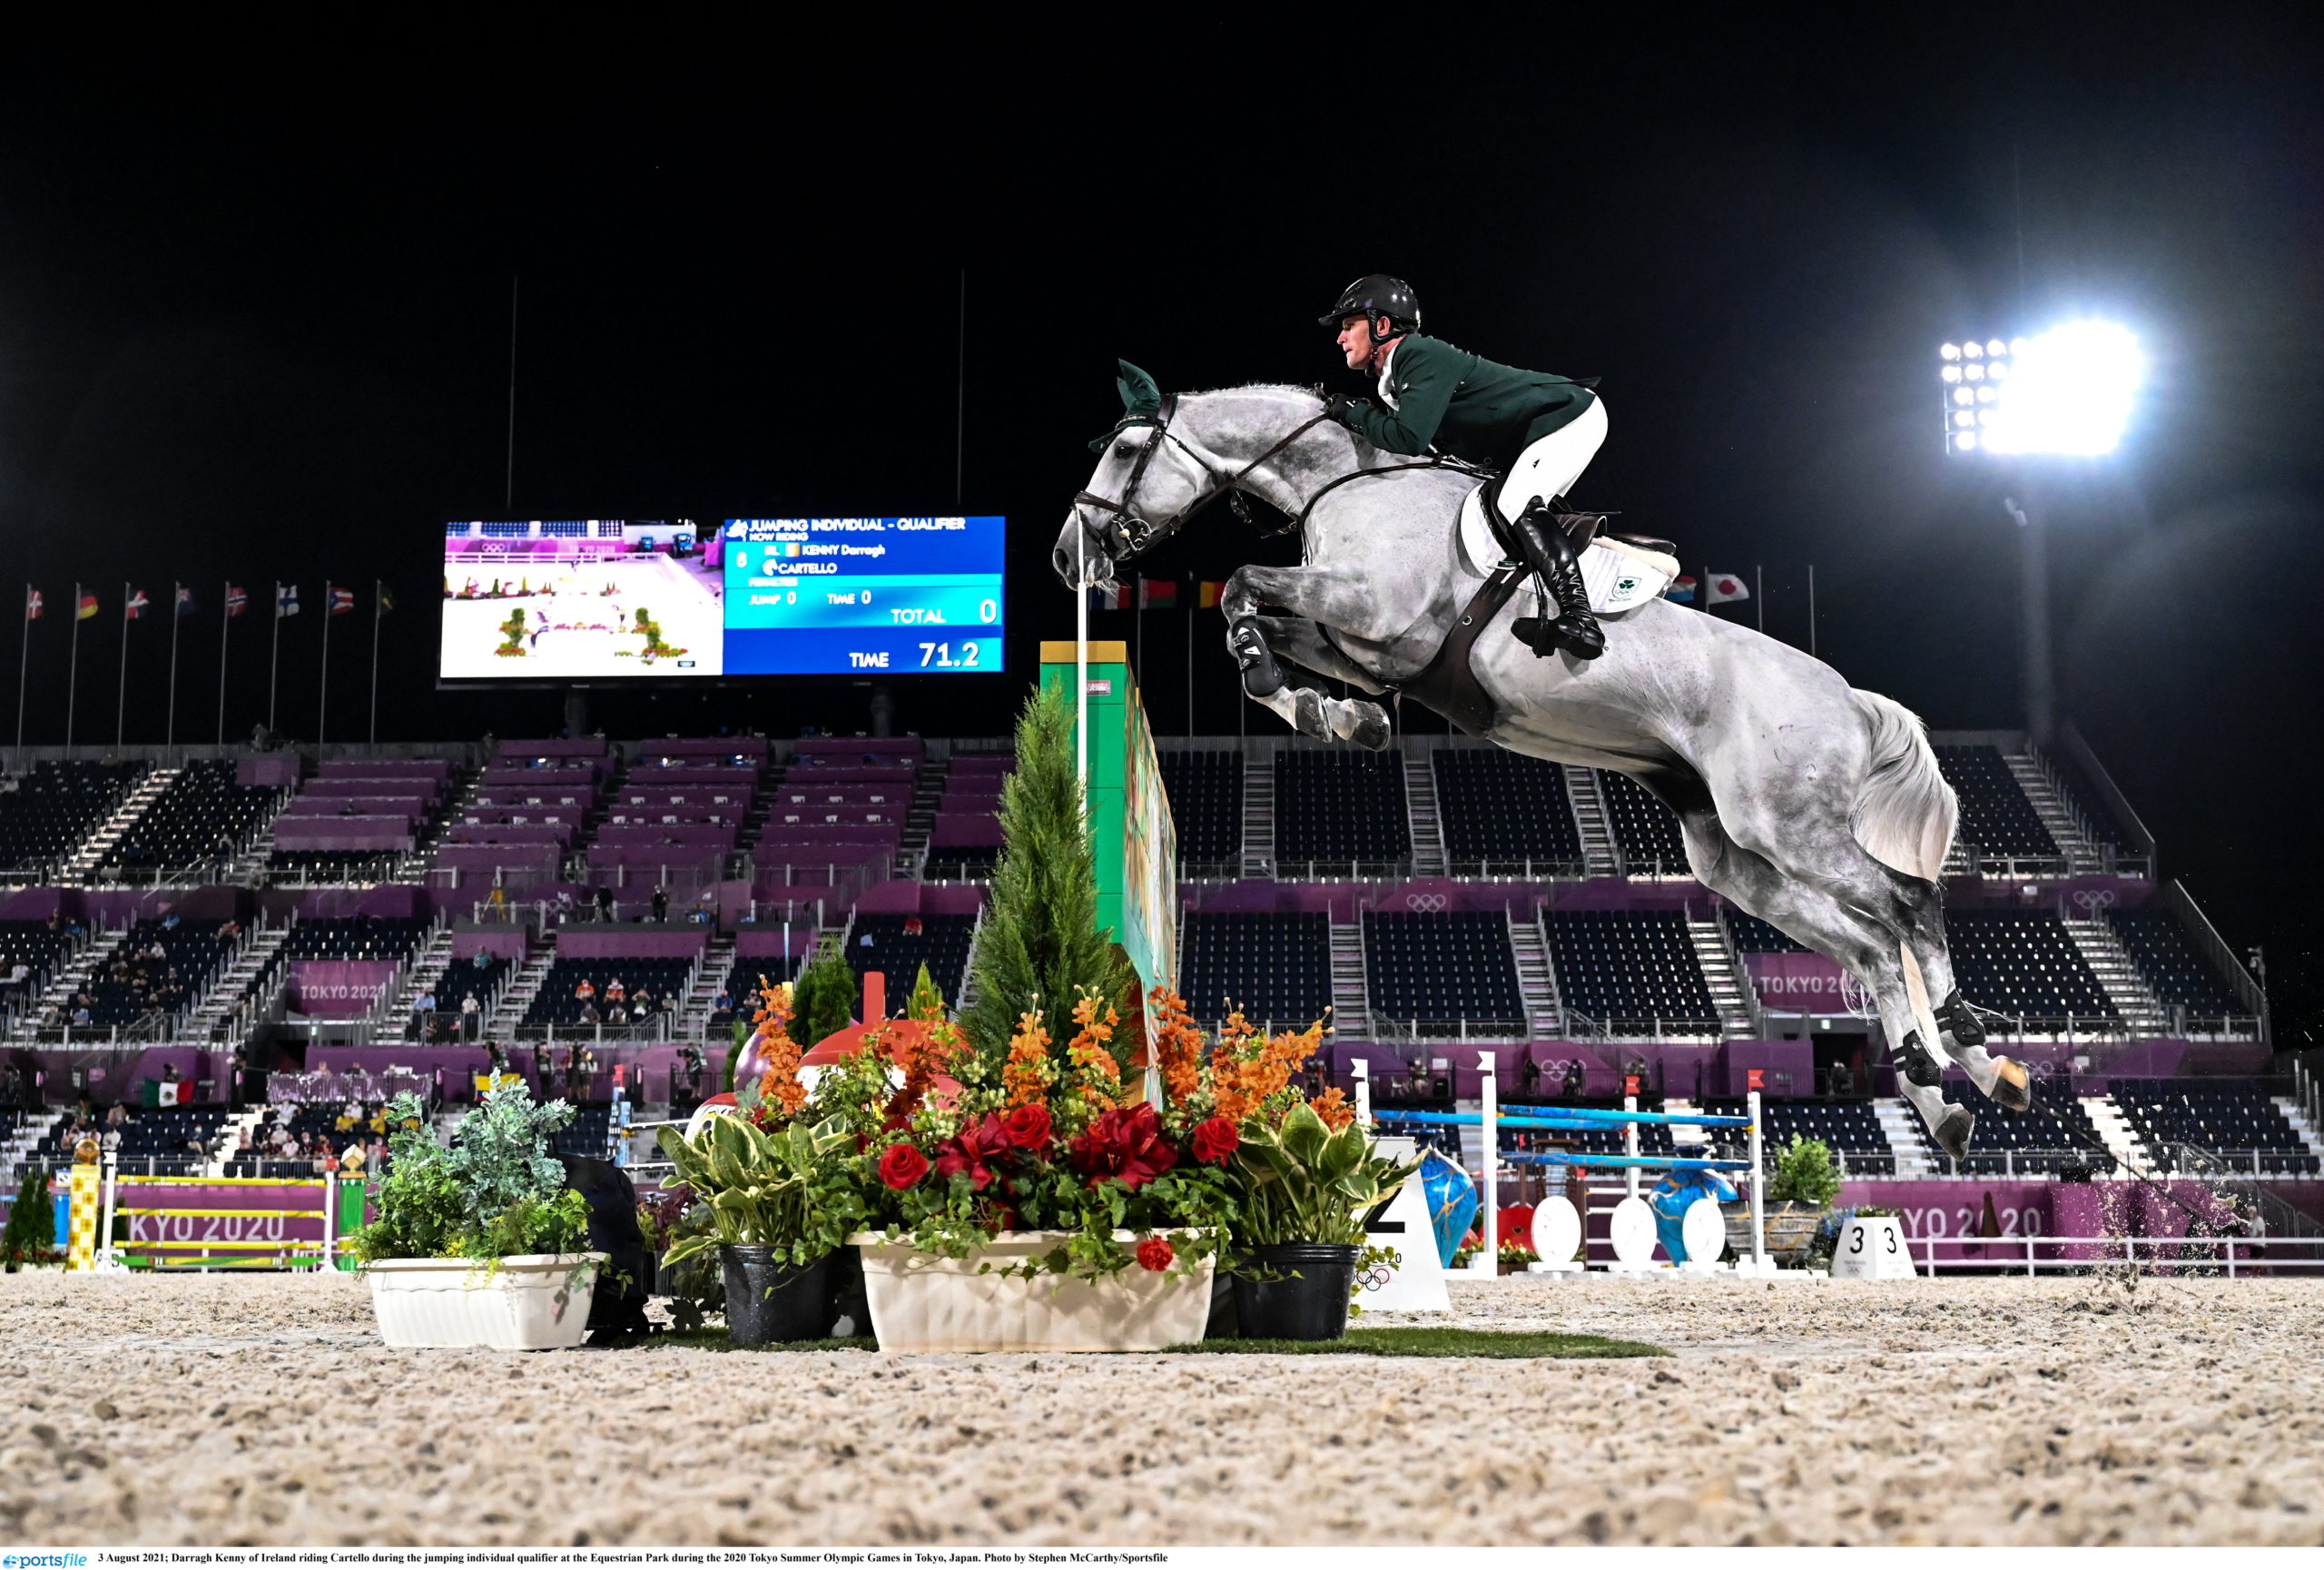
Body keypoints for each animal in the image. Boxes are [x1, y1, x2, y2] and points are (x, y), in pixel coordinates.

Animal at [1064, 367, 2026, 1153]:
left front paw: (1292, 688)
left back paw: (1973, 1047)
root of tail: (1850, 699)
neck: (1348, 480)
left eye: (1124, 449)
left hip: (1787, 824)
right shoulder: (1364, 643)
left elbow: (1241, 586)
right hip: (1739, 858)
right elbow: (1274, 629)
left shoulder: (1369, 608)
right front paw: (1335, 715)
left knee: (1909, 903)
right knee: (1871, 947)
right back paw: (1947, 1094)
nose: (1067, 554)